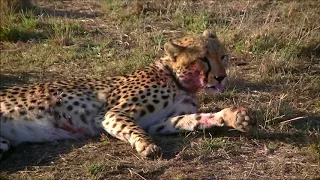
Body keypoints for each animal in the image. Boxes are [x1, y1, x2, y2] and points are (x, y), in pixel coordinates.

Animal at [0, 30, 255, 158]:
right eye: (203, 59)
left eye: (223, 56)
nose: (221, 77)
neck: (177, 80)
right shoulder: (111, 113)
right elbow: (133, 127)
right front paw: (147, 146)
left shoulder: (159, 122)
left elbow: (192, 120)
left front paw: (232, 116)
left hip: (3, 143)